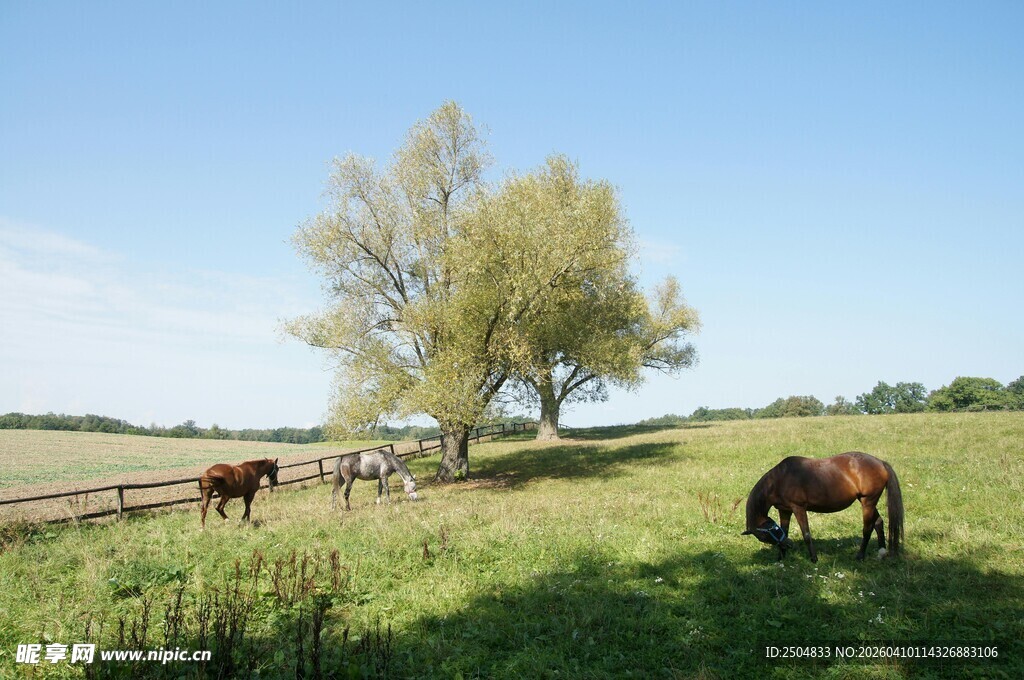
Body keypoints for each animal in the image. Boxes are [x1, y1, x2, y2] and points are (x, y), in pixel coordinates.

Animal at [743, 451, 904, 562]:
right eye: (764, 537)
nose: (788, 545)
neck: (780, 479)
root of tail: (881, 463)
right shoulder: (784, 510)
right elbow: (785, 530)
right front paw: (781, 559)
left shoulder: (798, 508)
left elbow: (806, 534)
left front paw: (813, 559)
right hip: (867, 501)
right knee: (879, 522)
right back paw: (881, 552)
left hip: (868, 502)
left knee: (868, 528)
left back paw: (860, 556)